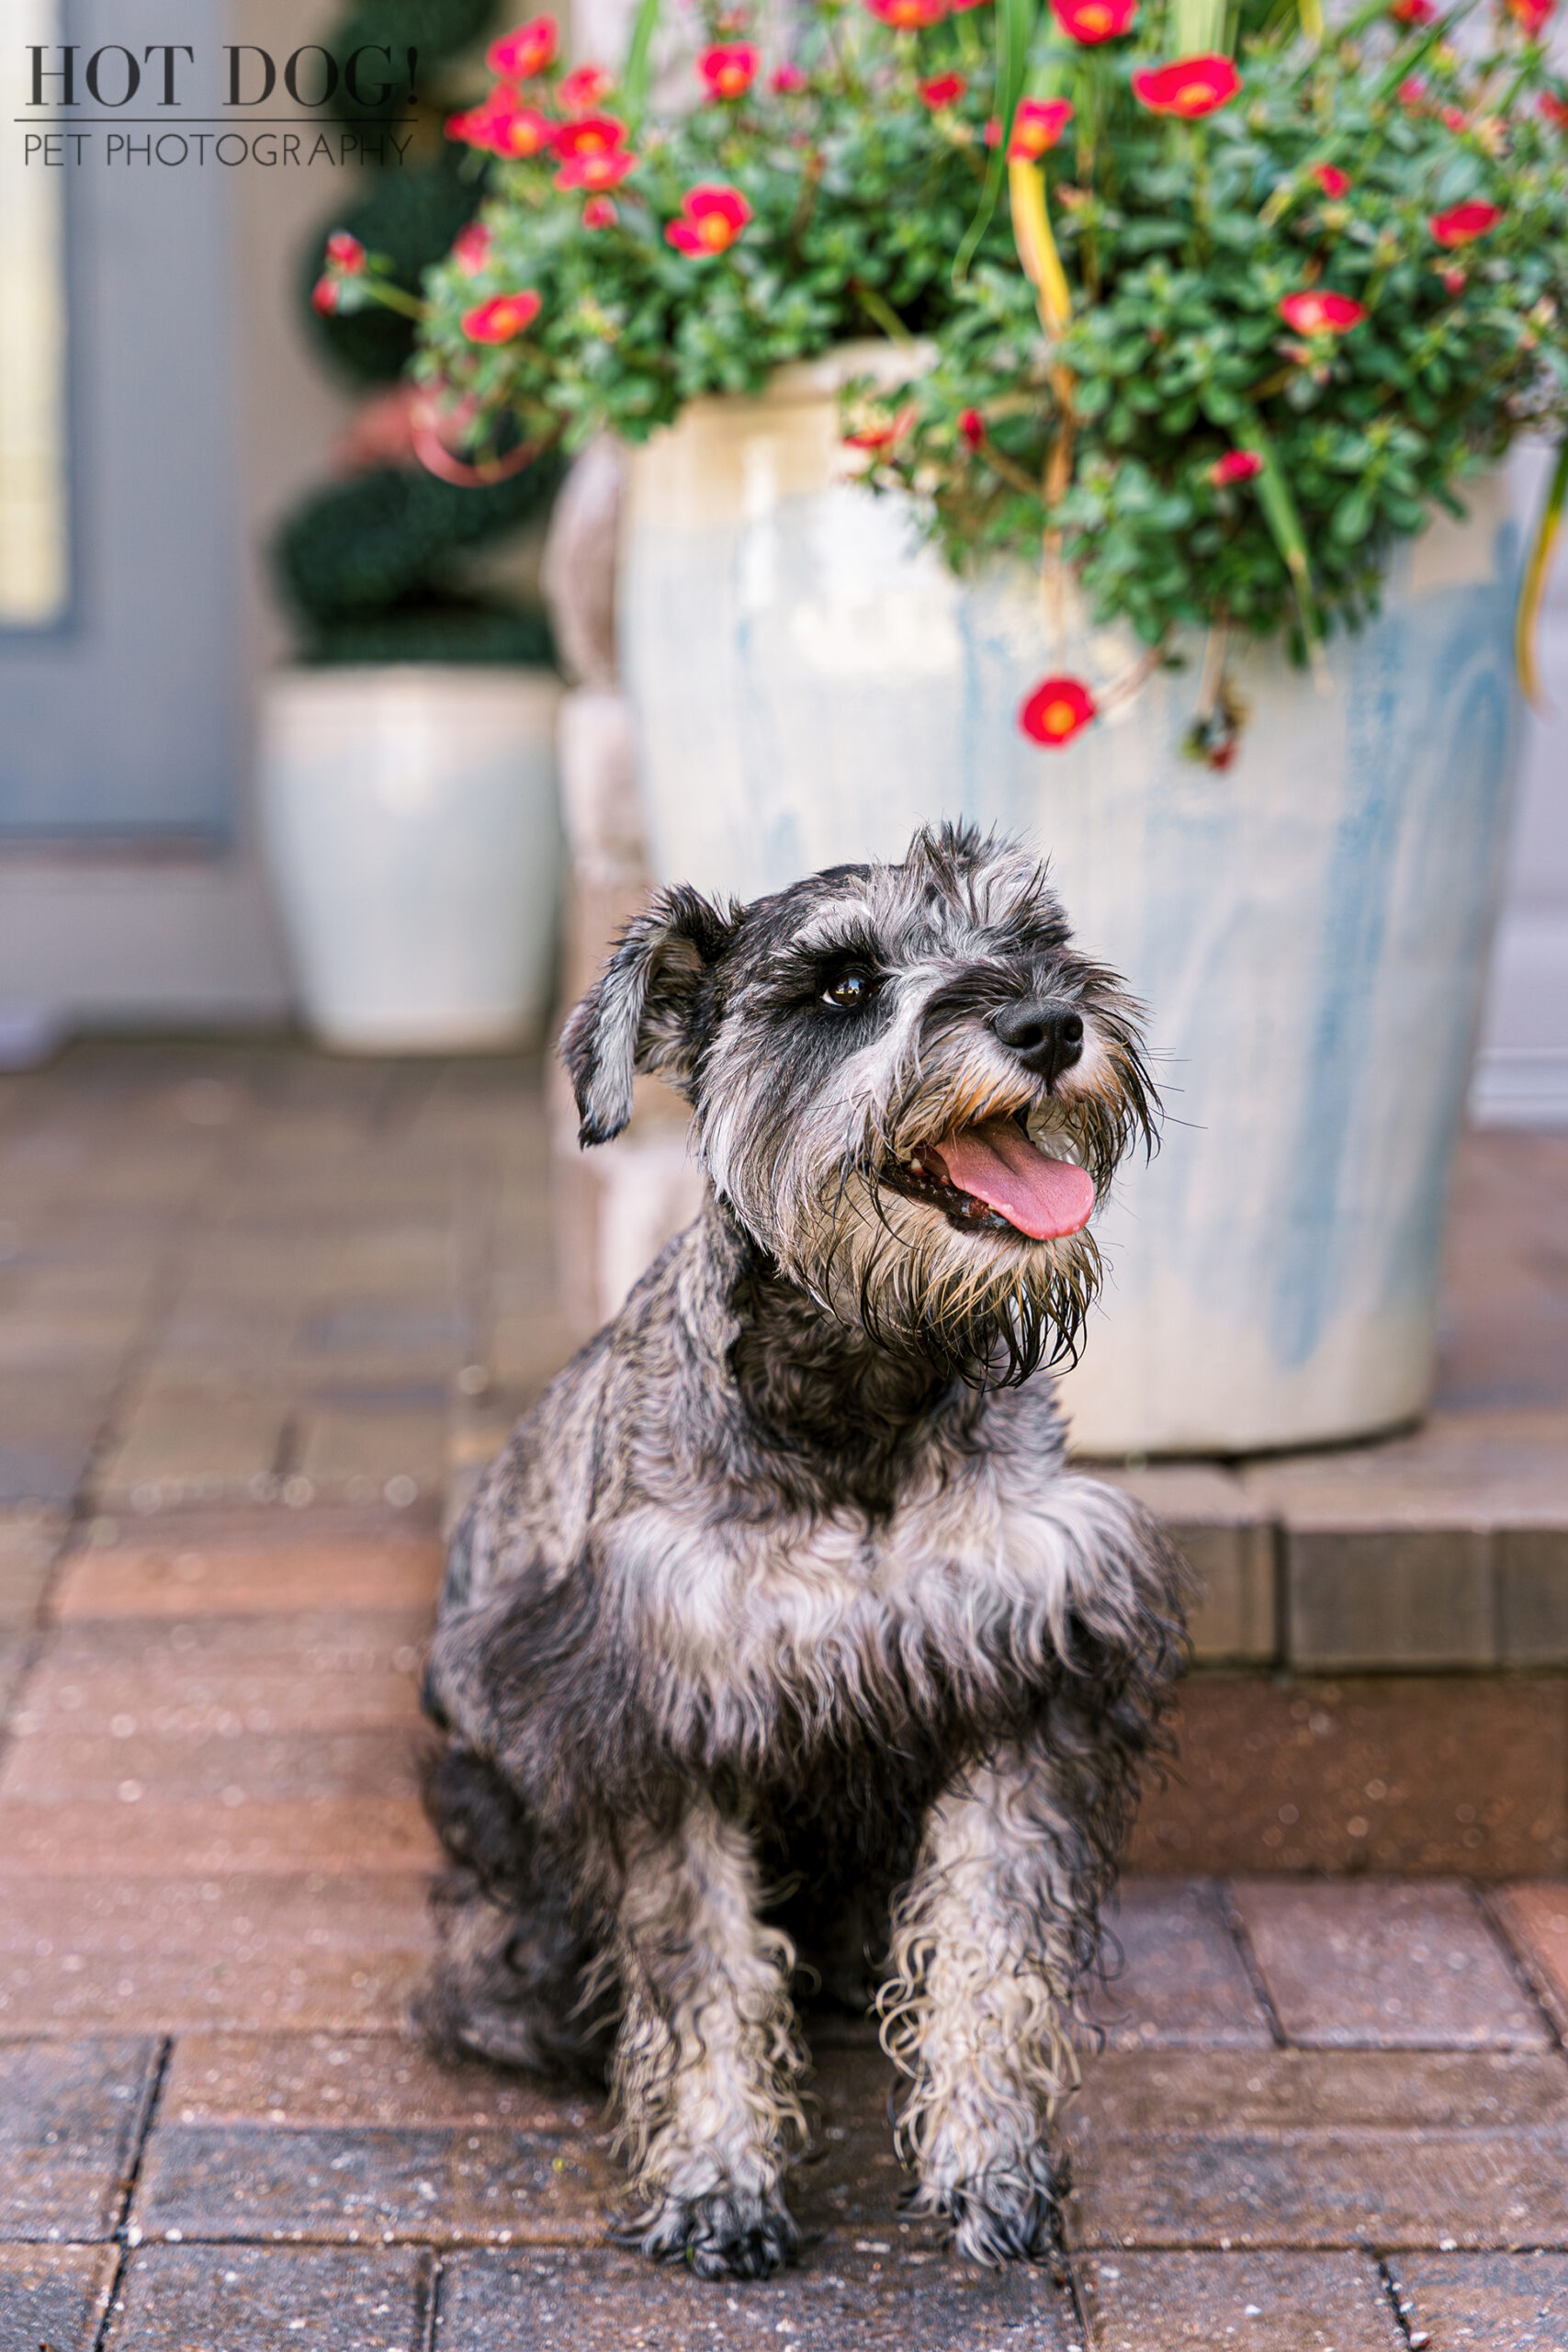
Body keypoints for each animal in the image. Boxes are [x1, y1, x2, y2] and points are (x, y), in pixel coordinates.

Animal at [423, 823, 1184, 2277]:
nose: (1048, 1023)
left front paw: (988, 2169)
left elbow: (992, 1942)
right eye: (840, 986)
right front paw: (718, 2180)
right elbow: (699, 1966)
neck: (863, 1396)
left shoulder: (1023, 1676)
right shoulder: (654, 1713)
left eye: (1034, 938)